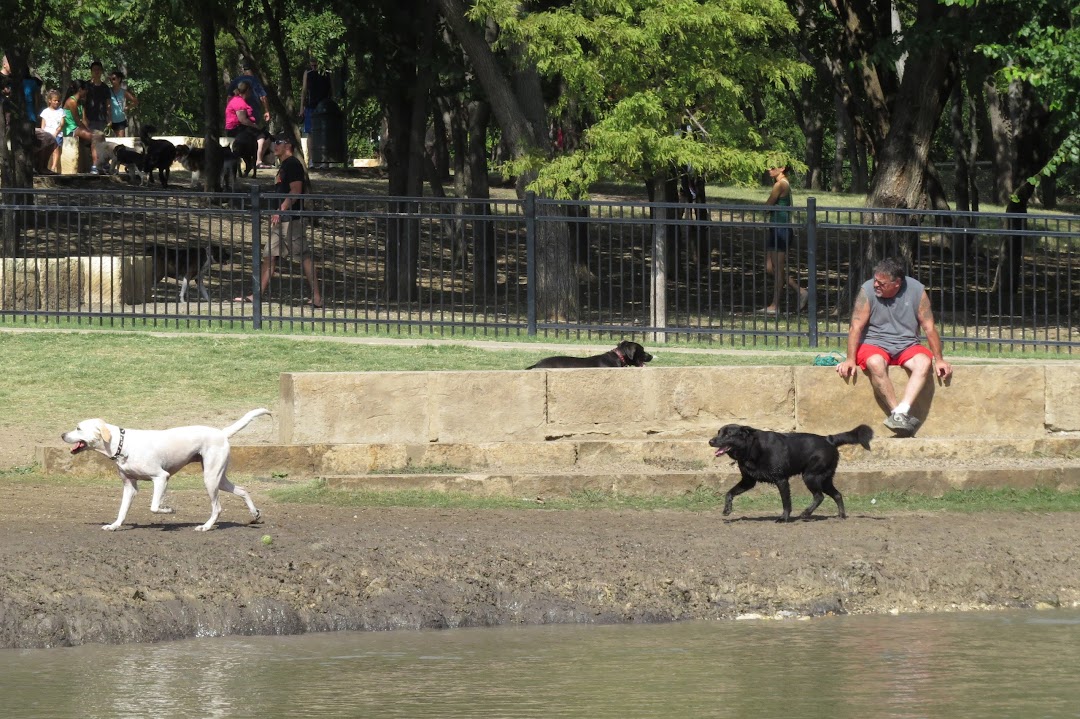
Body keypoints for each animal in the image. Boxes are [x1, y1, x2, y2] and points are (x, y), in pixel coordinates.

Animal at [62, 405, 270, 528]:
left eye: (78, 428)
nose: (62, 434)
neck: (122, 444)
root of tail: (221, 433)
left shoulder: (161, 477)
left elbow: (155, 506)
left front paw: (168, 510)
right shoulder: (129, 486)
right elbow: (122, 510)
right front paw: (114, 525)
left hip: (210, 479)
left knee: (217, 508)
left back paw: (206, 526)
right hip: (219, 478)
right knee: (242, 490)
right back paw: (255, 514)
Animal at [708, 421, 876, 520]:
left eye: (728, 434)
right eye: (718, 432)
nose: (710, 441)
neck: (751, 448)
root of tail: (829, 439)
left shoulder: (781, 480)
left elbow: (786, 502)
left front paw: (784, 518)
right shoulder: (748, 481)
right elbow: (729, 493)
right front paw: (727, 510)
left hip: (811, 476)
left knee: (819, 496)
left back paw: (806, 513)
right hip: (824, 479)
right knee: (837, 495)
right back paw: (841, 515)